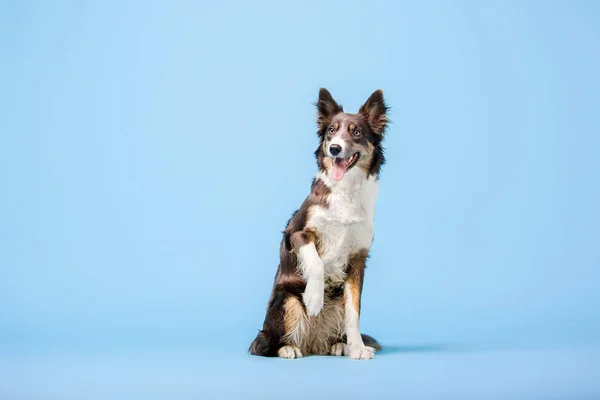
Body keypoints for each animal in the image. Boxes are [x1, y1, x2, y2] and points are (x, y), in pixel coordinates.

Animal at [248, 89, 390, 360]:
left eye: (356, 132)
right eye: (331, 131)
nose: (334, 149)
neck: (346, 190)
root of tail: (311, 343)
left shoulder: (357, 258)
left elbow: (354, 312)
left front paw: (357, 348)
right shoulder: (296, 233)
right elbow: (316, 263)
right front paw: (314, 298)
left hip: (336, 302)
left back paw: (340, 345)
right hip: (286, 301)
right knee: (264, 345)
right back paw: (287, 348)